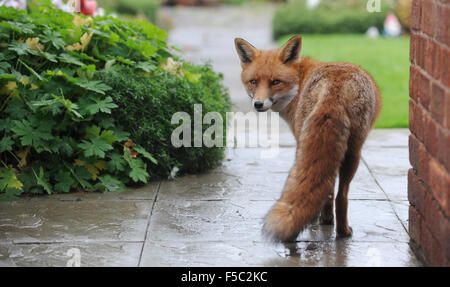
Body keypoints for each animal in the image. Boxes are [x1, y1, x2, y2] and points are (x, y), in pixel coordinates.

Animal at [234, 35, 382, 243]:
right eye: (253, 82)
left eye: (275, 82)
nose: (258, 104)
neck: (299, 82)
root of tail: (333, 90)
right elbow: (327, 189)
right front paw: (324, 218)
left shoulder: (300, 139)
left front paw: (320, 219)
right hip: (352, 151)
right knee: (339, 194)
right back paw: (337, 228)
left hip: (342, 151)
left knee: (339, 195)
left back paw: (341, 231)